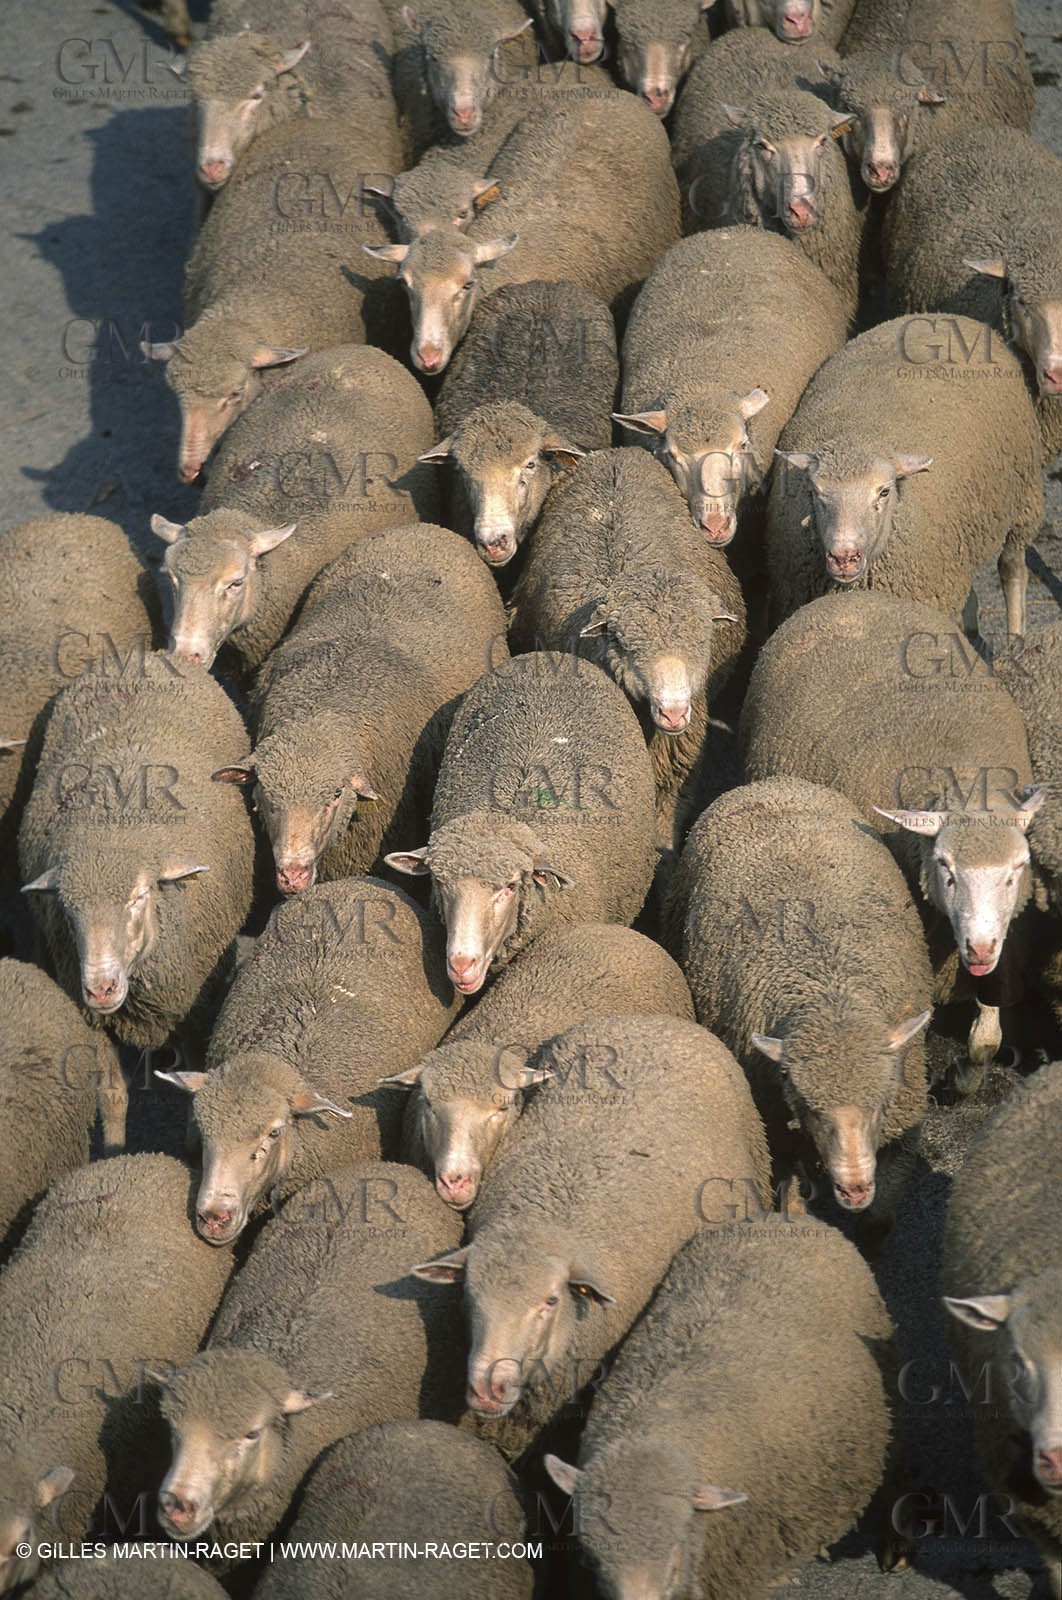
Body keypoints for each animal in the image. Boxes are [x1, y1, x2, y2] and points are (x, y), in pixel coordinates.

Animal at [665, 776, 933, 1233]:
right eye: (809, 1108)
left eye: (880, 1102)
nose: (854, 1188)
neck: (832, 989)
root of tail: (772, 783)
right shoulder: (780, 1129)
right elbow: (792, 1200)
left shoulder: (902, 1123)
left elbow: (880, 1217)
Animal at [739, 591, 1044, 1076]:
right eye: (946, 870)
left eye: (1016, 872)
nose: (978, 949)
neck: (961, 772)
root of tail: (853, 595)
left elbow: (988, 1030)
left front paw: (981, 1047)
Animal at [766, 314, 1045, 637]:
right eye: (815, 492)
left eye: (884, 492)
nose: (843, 557)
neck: (858, 433)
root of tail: (943, 316)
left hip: (1023, 496)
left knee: (1012, 567)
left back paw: (1015, 636)